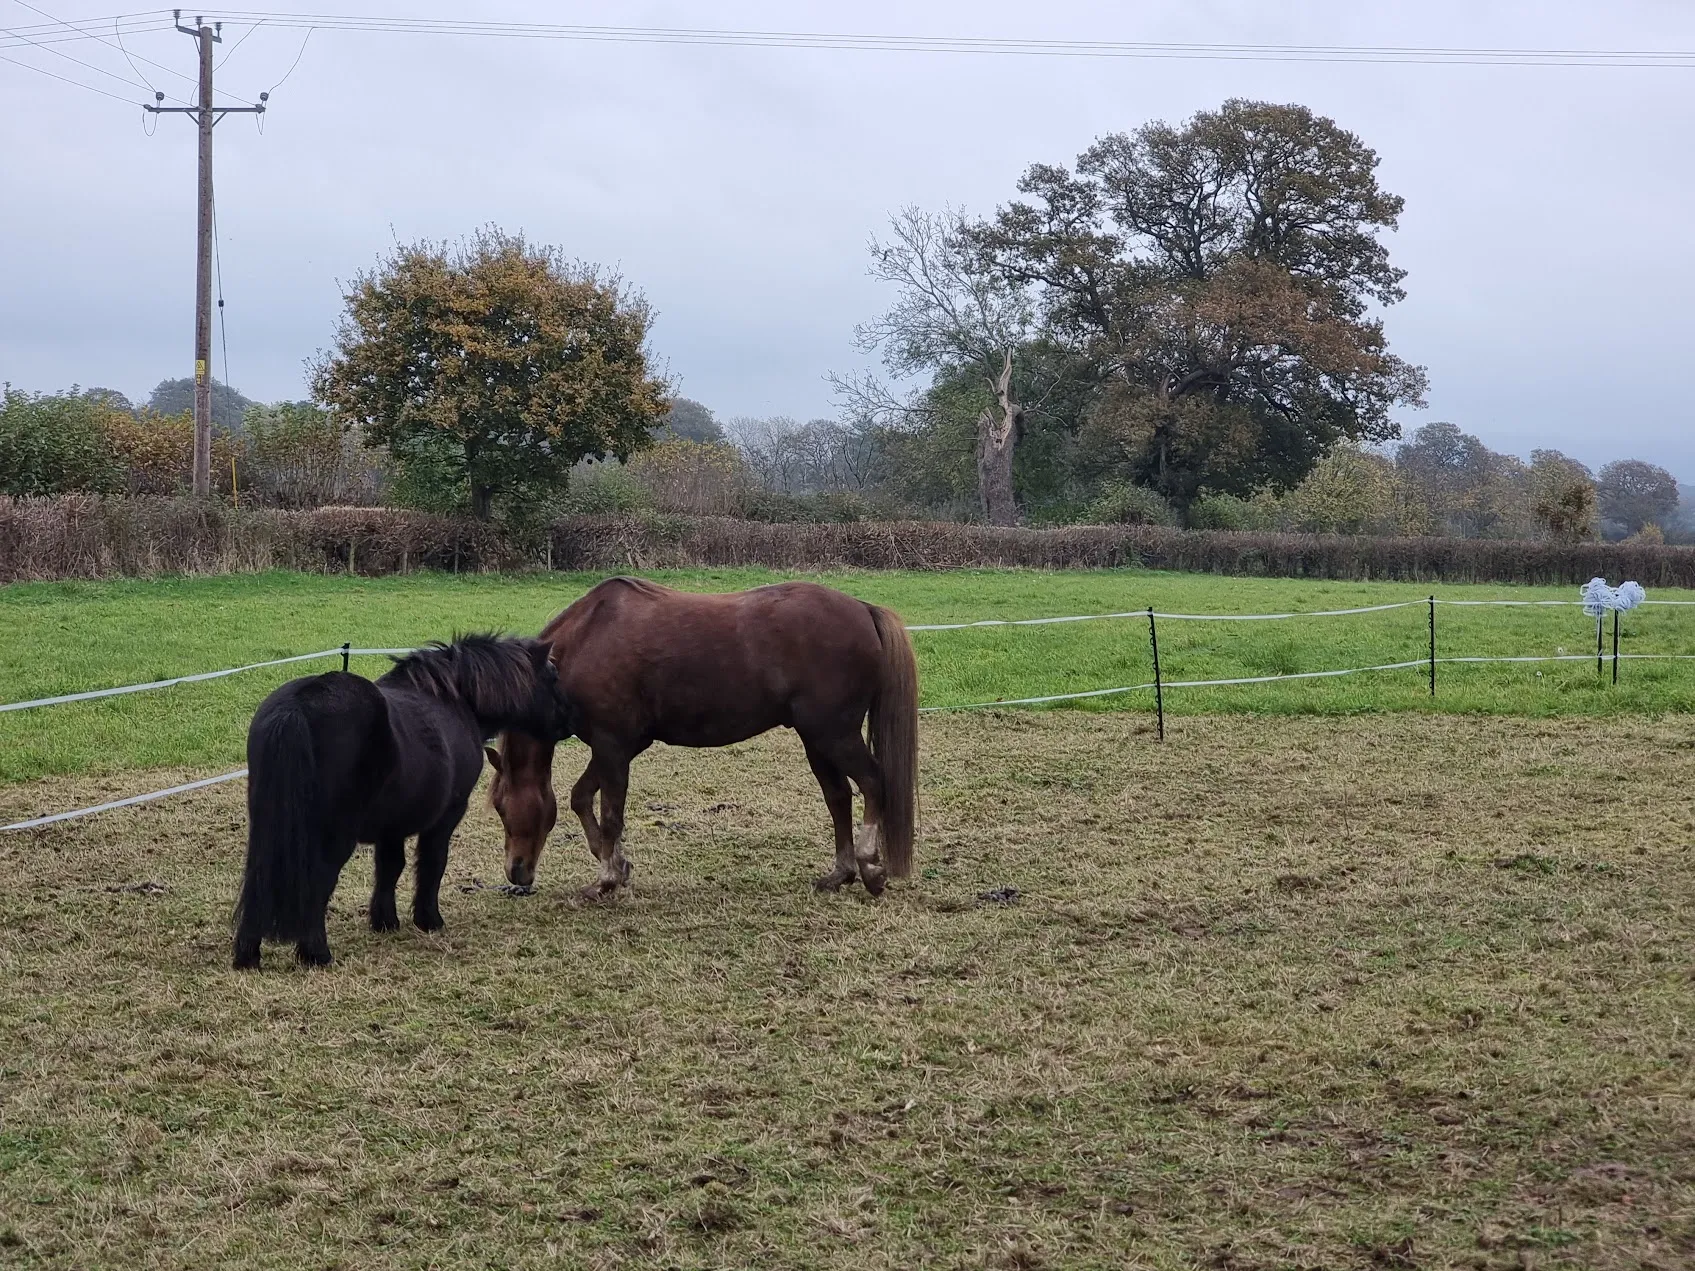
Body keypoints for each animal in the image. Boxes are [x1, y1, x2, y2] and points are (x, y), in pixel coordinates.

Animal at [233, 634, 576, 969]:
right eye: (553, 676)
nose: (570, 720)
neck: (454, 700)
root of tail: (296, 707)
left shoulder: (392, 828)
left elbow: (390, 868)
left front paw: (385, 921)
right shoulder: (447, 816)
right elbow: (432, 863)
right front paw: (429, 920)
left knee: (257, 879)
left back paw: (247, 956)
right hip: (332, 836)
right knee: (318, 881)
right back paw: (316, 954)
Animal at [486, 577, 918, 901]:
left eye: (502, 808)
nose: (516, 873)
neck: (584, 642)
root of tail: (863, 608)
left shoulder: (612, 745)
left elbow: (611, 815)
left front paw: (606, 879)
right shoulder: (620, 747)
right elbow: (581, 798)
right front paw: (617, 866)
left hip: (835, 734)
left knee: (873, 782)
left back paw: (870, 867)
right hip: (817, 739)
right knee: (838, 797)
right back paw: (841, 873)